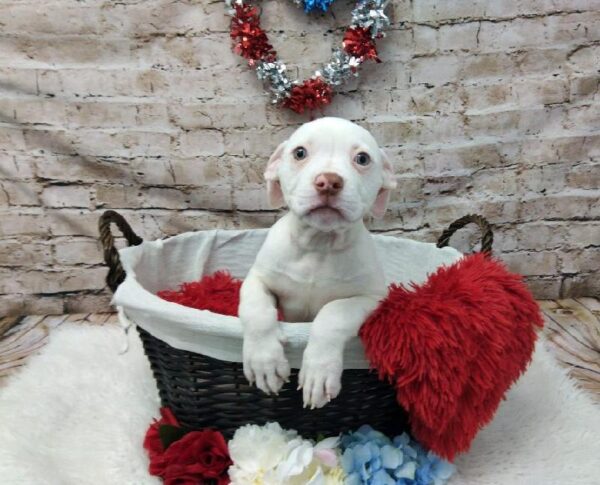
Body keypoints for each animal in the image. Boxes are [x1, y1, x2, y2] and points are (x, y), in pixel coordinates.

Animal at [237, 117, 396, 408]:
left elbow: (333, 313)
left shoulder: (371, 298)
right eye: (300, 153)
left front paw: (318, 372)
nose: (328, 182)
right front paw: (264, 361)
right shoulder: (257, 279)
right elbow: (256, 309)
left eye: (362, 158)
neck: (319, 244)